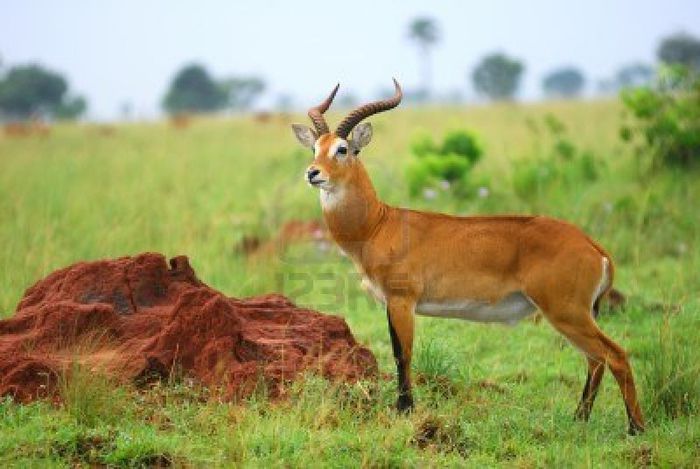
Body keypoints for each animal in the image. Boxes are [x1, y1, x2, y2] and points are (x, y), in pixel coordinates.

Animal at [290, 80, 645, 435]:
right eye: (315, 148)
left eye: (342, 149)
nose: (312, 173)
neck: (379, 224)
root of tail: (593, 246)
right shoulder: (392, 304)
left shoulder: (401, 301)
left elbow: (402, 354)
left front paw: (404, 410)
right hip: (575, 316)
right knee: (596, 360)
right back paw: (579, 419)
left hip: (567, 313)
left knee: (616, 355)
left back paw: (635, 429)